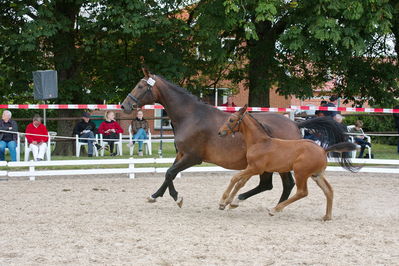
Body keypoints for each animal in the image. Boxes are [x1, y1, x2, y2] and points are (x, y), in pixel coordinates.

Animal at [219, 105, 356, 220]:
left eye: (231, 120)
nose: (220, 132)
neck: (260, 142)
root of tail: (323, 149)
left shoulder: (255, 168)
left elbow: (235, 178)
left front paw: (223, 201)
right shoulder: (251, 168)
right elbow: (240, 182)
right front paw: (230, 202)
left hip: (300, 173)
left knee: (302, 192)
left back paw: (275, 209)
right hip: (316, 175)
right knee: (328, 190)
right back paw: (327, 216)